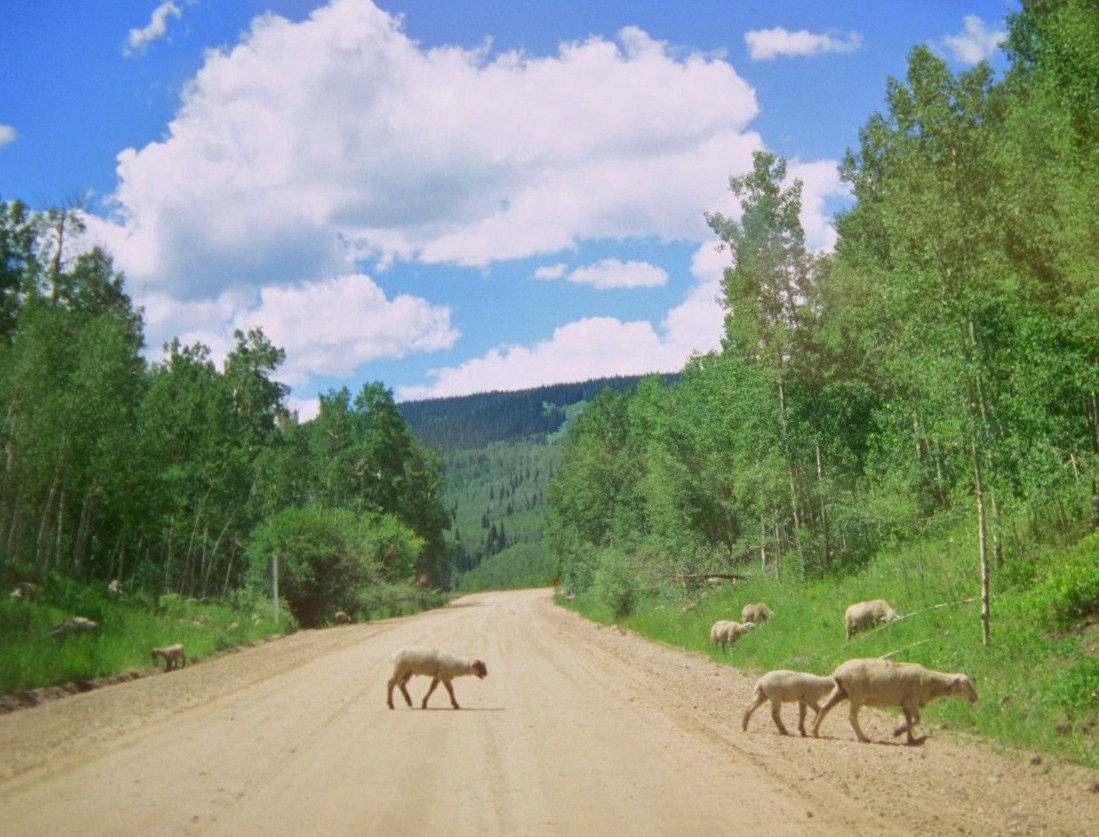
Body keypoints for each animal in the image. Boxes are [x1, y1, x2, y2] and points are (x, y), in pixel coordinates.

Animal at [808, 654, 980, 738]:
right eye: (966, 685)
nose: (976, 698)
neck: (931, 682)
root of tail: (838, 672)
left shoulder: (904, 703)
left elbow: (910, 721)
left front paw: (910, 738)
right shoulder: (912, 701)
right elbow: (917, 720)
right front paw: (898, 731)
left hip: (840, 691)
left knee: (824, 709)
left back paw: (815, 731)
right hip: (857, 695)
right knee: (851, 716)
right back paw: (862, 737)